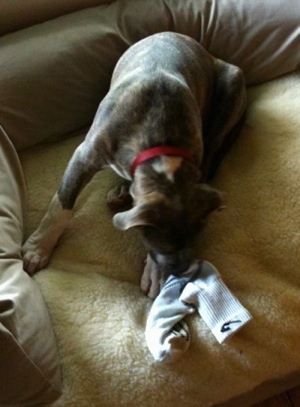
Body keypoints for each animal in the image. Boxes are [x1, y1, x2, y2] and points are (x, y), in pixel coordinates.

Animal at [21, 32, 246, 300]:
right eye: (161, 243)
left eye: (195, 239)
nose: (181, 274)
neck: (160, 148)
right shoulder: (83, 157)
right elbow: (60, 206)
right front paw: (38, 248)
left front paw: (154, 273)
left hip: (232, 84)